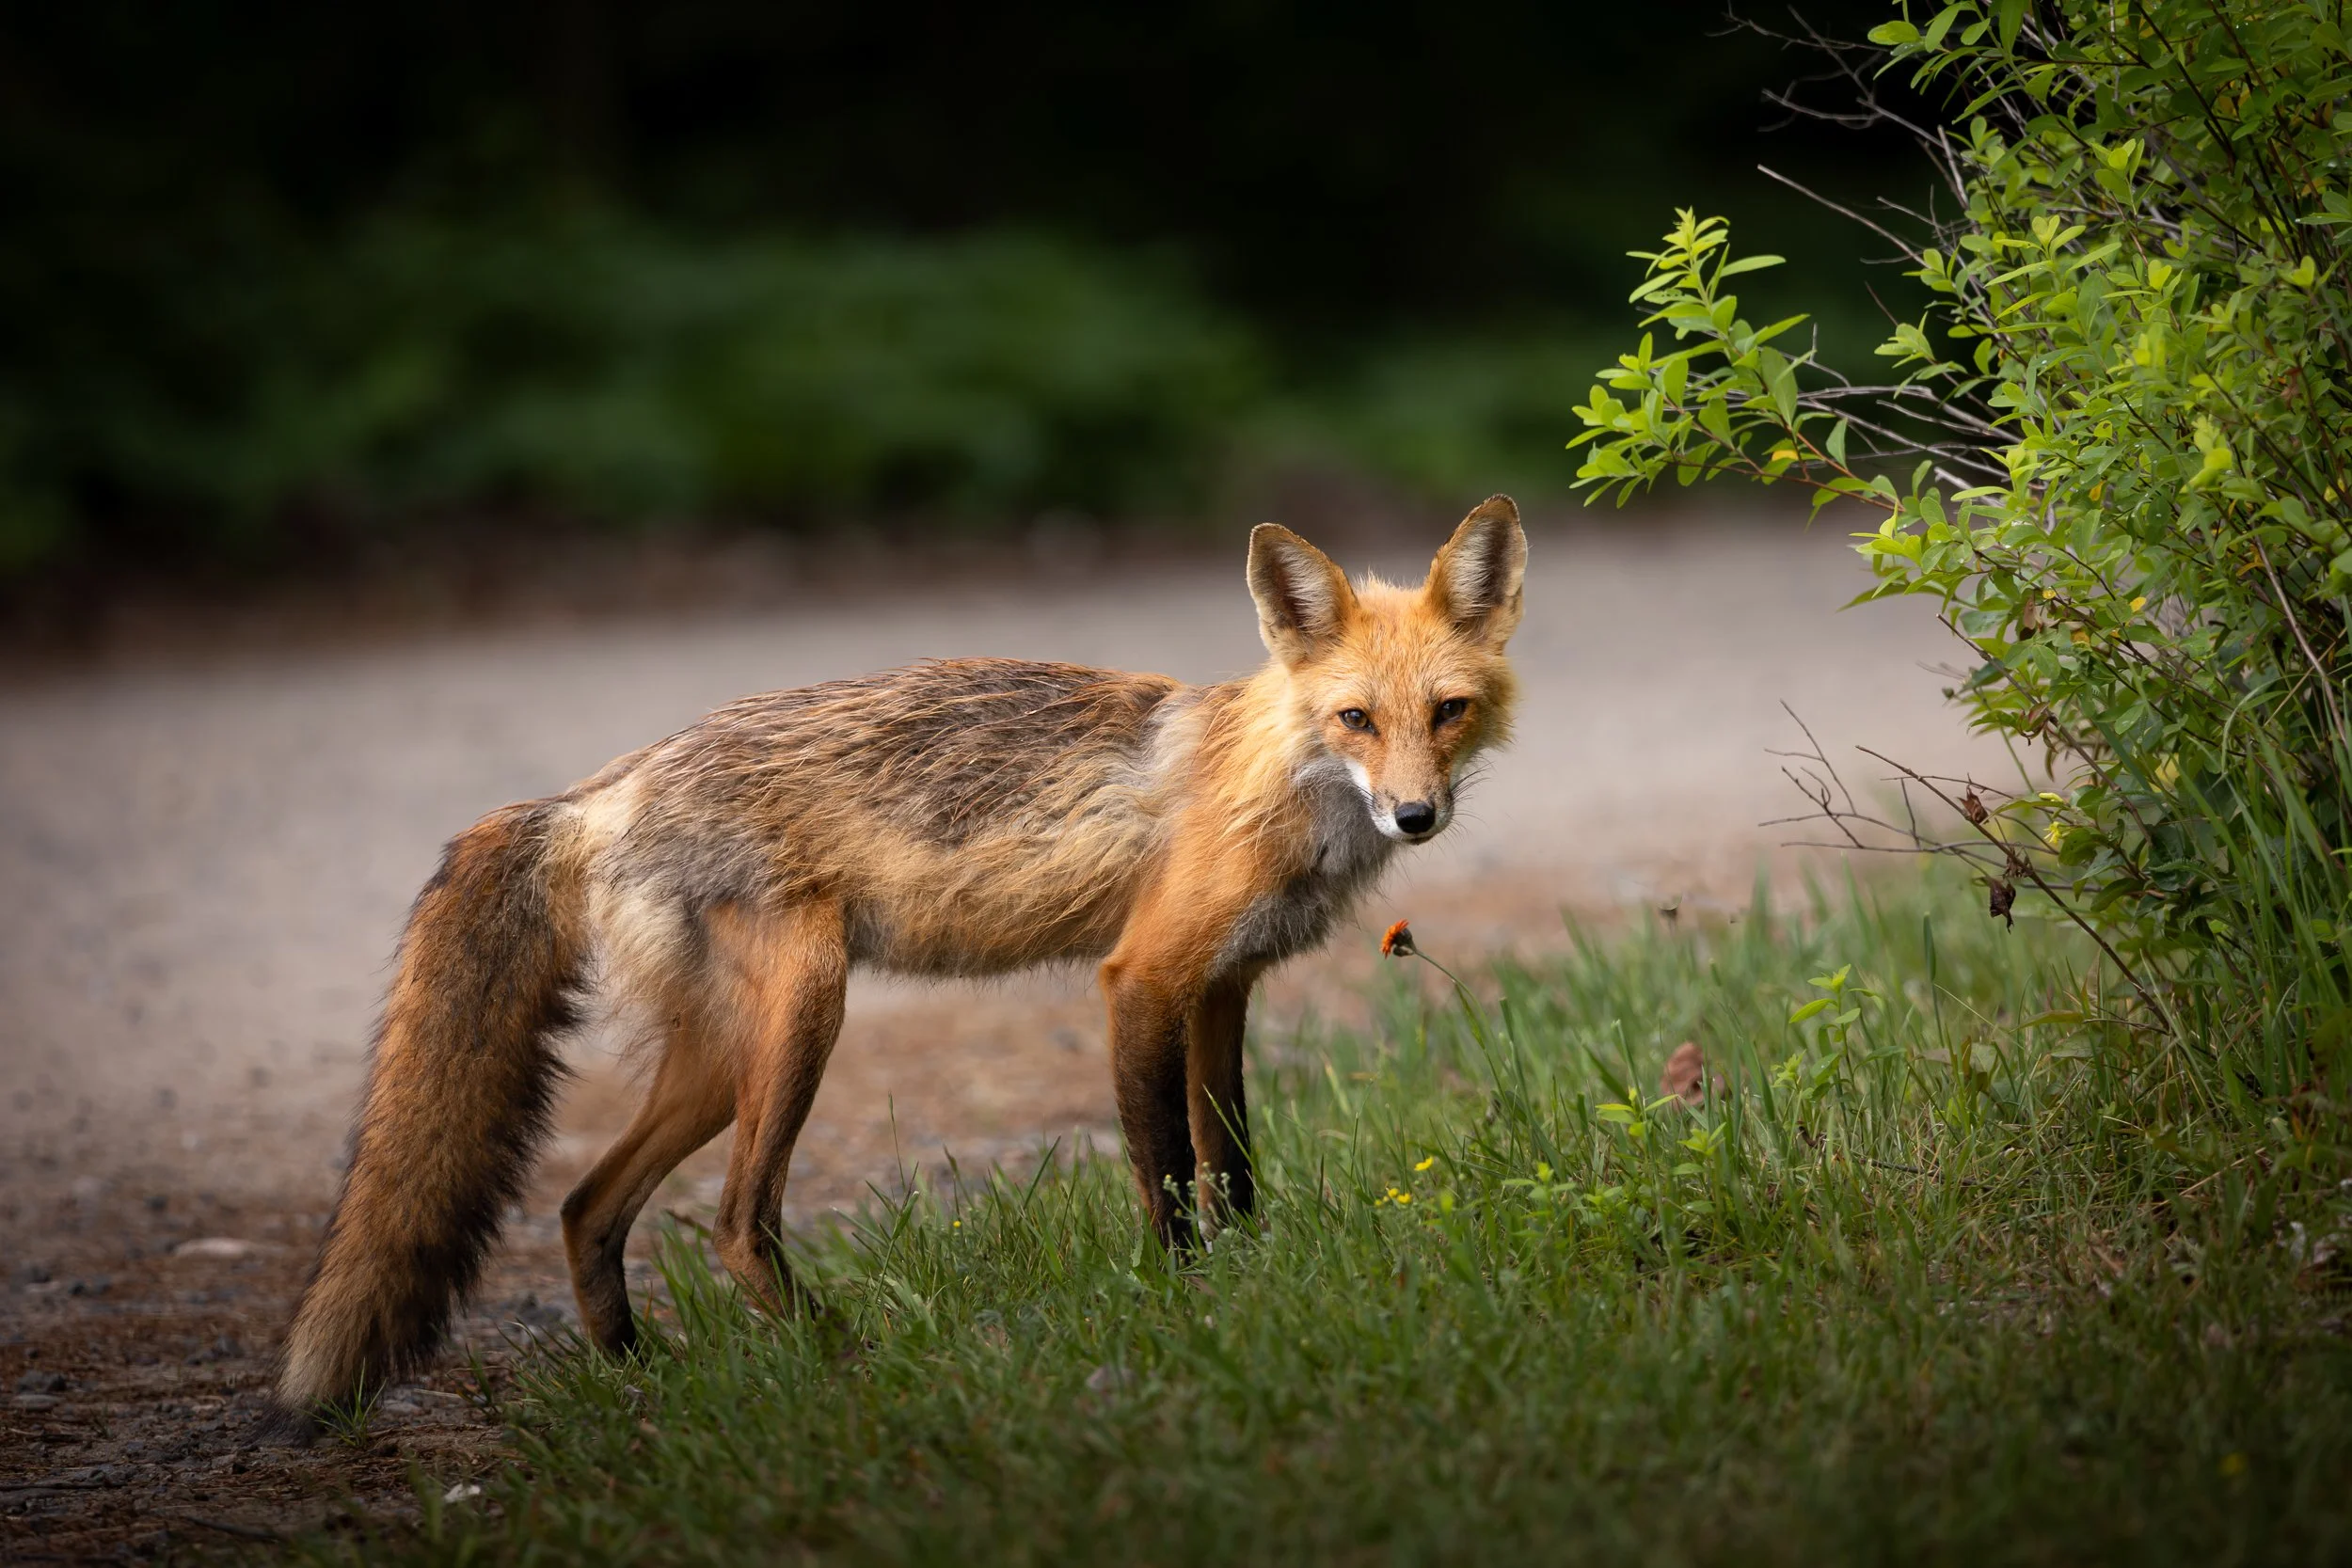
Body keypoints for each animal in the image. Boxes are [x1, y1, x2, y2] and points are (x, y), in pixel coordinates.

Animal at [272, 496, 1527, 1429]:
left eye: (1448, 711)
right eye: (1356, 718)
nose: (1414, 815)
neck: (1272, 780)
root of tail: (598, 790)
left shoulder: (1222, 989)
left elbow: (1237, 1169)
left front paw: (1253, 1283)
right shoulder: (1143, 980)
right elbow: (1169, 1177)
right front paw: (1188, 1311)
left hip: (716, 1062)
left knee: (586, 1205)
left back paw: (641, 1379)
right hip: (801, 1022)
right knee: (734, 1223)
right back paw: (848, 1358)